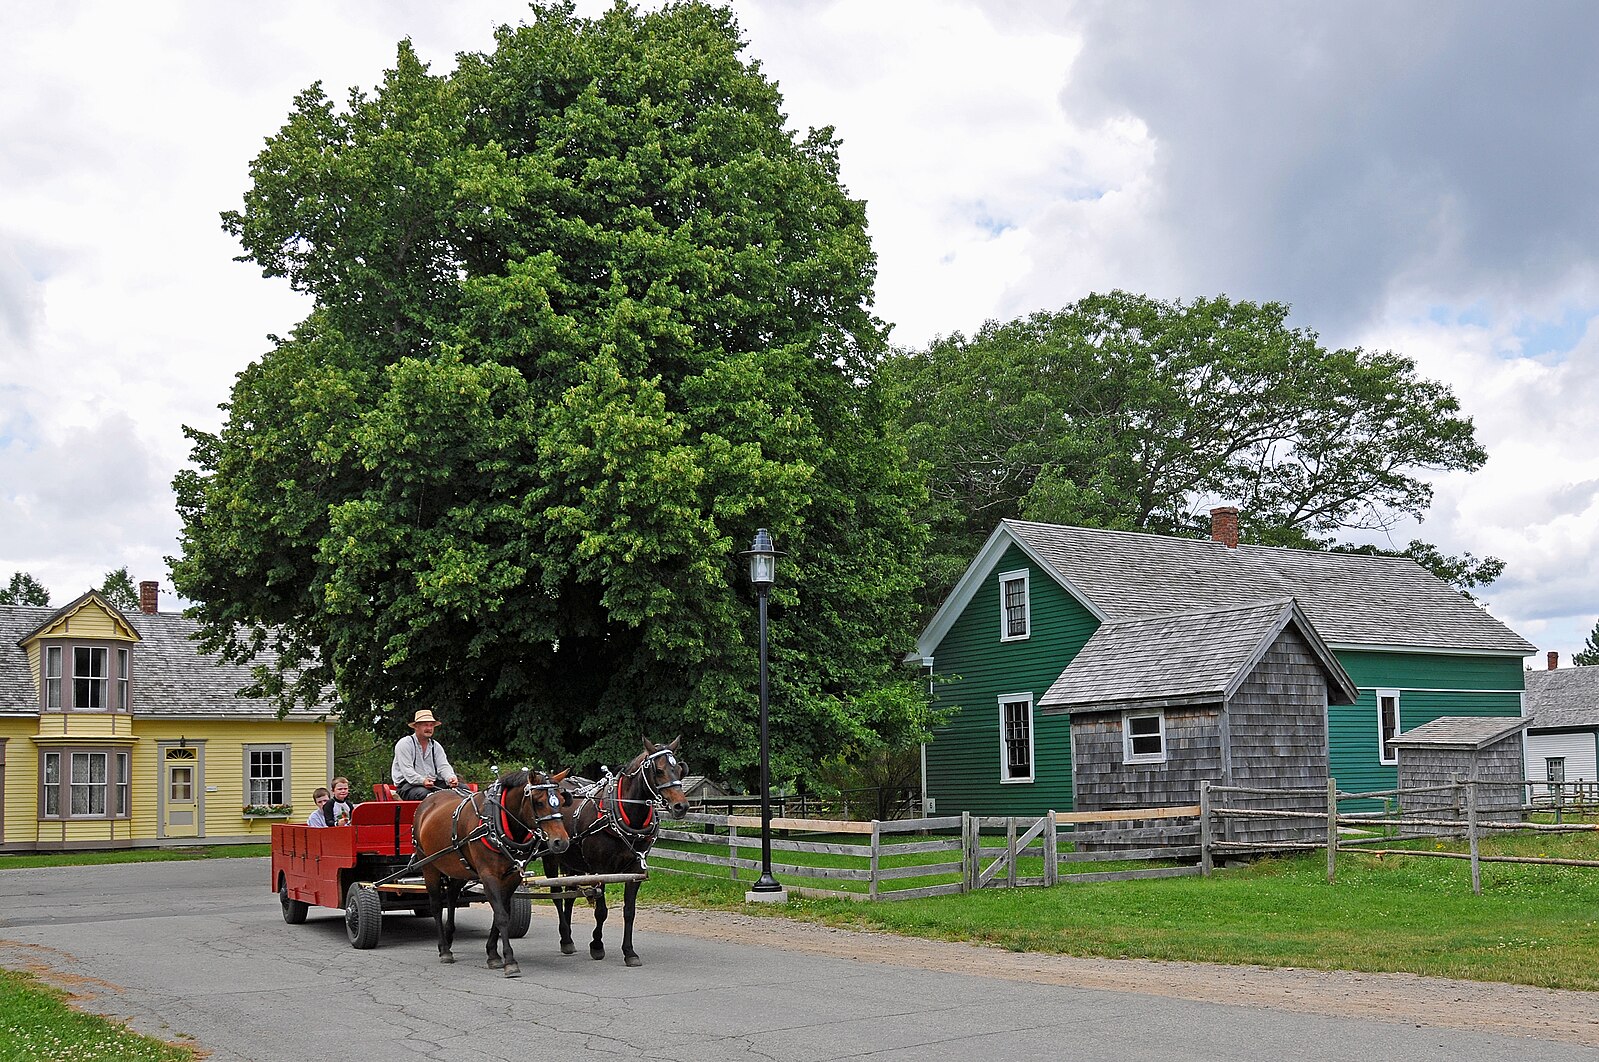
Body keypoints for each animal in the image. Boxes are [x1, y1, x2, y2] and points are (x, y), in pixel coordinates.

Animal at [415, 764, 572, 978]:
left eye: (562, 801)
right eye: (539, 802)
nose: (560, 842)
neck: (497, 821)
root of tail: (428, 802)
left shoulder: (511, 877)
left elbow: (501, 912)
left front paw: (492, 954)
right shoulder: (488, 875)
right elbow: (502, 916)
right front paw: (510, 961)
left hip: (459, 867)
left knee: (452, 897)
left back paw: (448, 937)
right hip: (428, 866)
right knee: (437, 906)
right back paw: (444, 949)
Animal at [543, 738, 687, 972]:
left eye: (680, 770)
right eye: (658, 770)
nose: (681, 806)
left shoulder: (635, 871)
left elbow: (629, 912)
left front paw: (629, 952)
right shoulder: (600, 870)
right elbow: (601, 911)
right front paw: (597, 945)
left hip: (573, 863)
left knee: (569, 895)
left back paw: (568, 939)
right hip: (550, 857)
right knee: (556, 894)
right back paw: (565, 936)